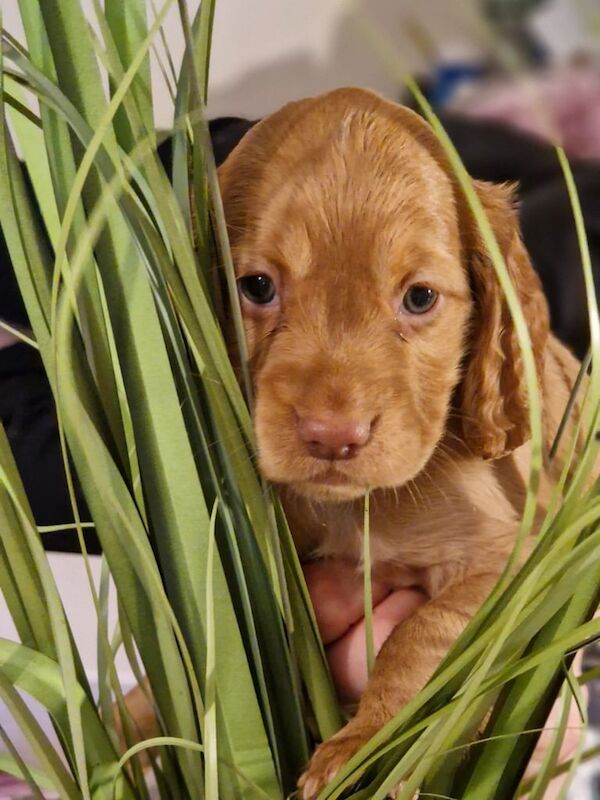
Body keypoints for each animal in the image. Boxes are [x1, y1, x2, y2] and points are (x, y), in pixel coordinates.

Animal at [218, 84, 584, 796]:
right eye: (257, 287)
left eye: (419, 298)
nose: (332, 437)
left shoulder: (514, 557)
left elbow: (419, 634)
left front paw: (357, 749)